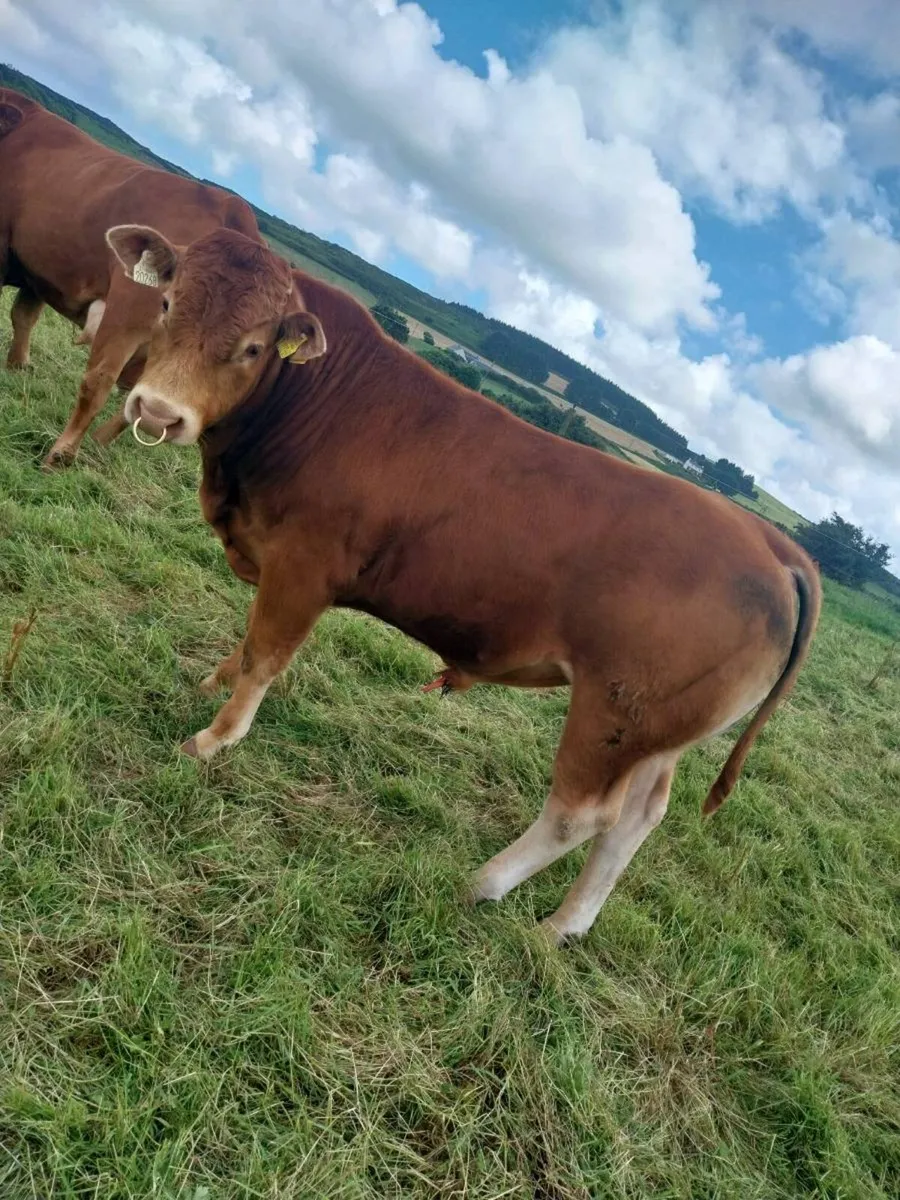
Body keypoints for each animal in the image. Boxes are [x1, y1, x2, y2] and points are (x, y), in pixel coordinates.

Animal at [0, 88, 262, 468]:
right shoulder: (38, 269)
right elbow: (24, 316)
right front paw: (17, 367)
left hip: (126, 314)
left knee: (98, 382)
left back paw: (60, 455)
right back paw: (95, 443)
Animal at [104, 222, 822, 944]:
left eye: (253, 347)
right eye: (166, 305)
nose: (158, 411)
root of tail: (772, 542)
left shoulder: (304, 567)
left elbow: (264, 655)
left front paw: (215, 737)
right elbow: (246, 642)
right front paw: (208, 684)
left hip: (612, 714)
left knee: (584, 814)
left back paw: (483, 885)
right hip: (657, 733)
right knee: (637, 821)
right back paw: (562, 926)